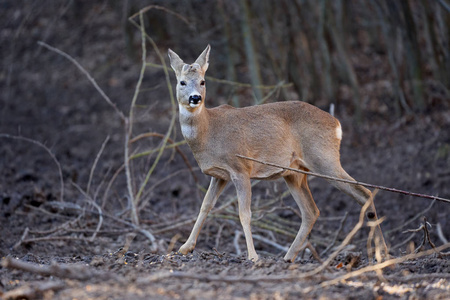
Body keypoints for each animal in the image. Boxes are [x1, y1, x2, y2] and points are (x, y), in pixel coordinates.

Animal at [169, 45, 386, 262]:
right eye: (182, 82)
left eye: (203, 81)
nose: (195, 98)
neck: (209, 131)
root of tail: (337, 124)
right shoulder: (220, 175)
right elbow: (205, 206)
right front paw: (185, 248)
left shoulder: (240, 167)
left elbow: (244, 213)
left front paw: (253, 256)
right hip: (295, 173)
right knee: (311, 211)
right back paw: (288, 257)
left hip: (324, 158)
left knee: (364, 193)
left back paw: (381, 253)